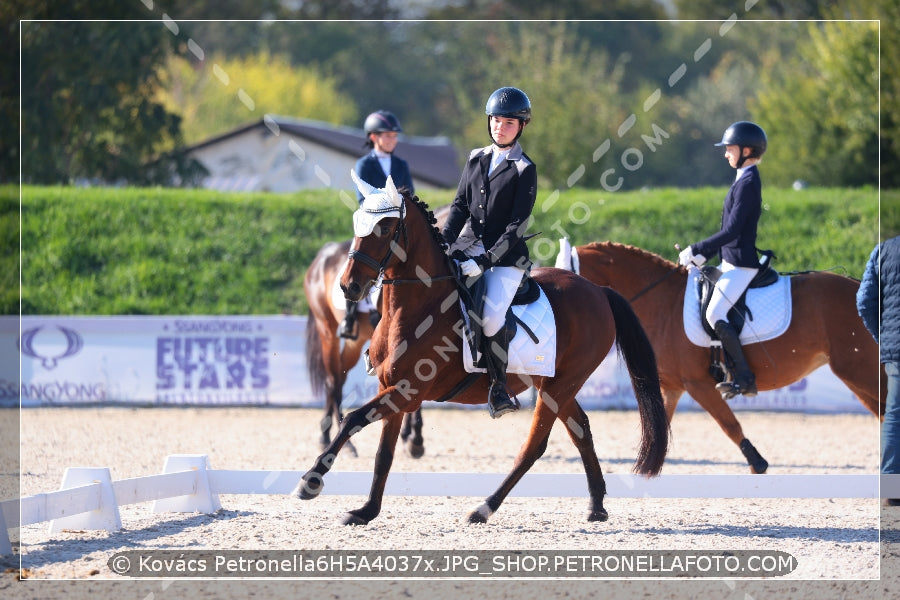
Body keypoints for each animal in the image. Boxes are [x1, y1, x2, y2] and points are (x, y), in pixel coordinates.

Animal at [302, 206, 450, 454]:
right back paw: (340, 441)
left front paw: (409, 435)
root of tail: (323, 255)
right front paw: (414, 439)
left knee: (339, 379)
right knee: (332, 380)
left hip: (355, 341)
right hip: (327, 330)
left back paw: (331, 435)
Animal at [568, 240, 884, 474]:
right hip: (857, 375)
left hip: (858, 370)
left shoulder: (698, 384)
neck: (663, 303)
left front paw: (758, 463)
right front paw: (646, 469)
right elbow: (660, 425)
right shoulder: (672, 386)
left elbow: (729, 424)